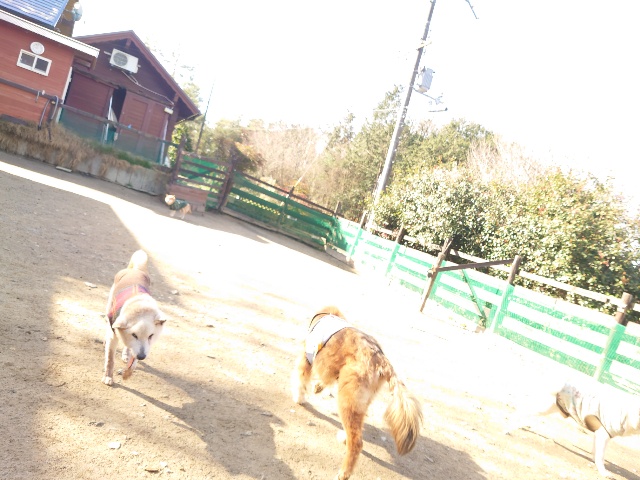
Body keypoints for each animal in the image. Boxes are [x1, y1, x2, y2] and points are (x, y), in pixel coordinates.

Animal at [102, 250, 166, 386]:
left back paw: (126, 354)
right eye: (134, 335)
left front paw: (127, 373)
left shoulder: (144, 347)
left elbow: (134, 362)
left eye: (151, 336)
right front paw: (108, 377)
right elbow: (110, 359)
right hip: (108, 307)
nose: (142, 357)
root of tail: (135, 270)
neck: (140, 307)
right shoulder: (114, 335)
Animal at [291, 305, 423, 480]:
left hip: (347, 400)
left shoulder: (307, 359)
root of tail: (382, 361)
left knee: (357, 442)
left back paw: (343, 472)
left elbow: (300, 380)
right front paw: (317, 387)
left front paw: (299, 398)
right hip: (360, 402)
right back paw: (344, 438)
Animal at [506, 377, 640, 477]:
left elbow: (596, 452)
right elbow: (600, 455)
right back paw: (509, 428)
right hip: (541, 408)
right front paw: (603, 472)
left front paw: (595, 462)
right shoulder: (603, 434)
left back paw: (522, 426)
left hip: (547, 409)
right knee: (521, 412)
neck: (628, 413)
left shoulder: (601, 435)